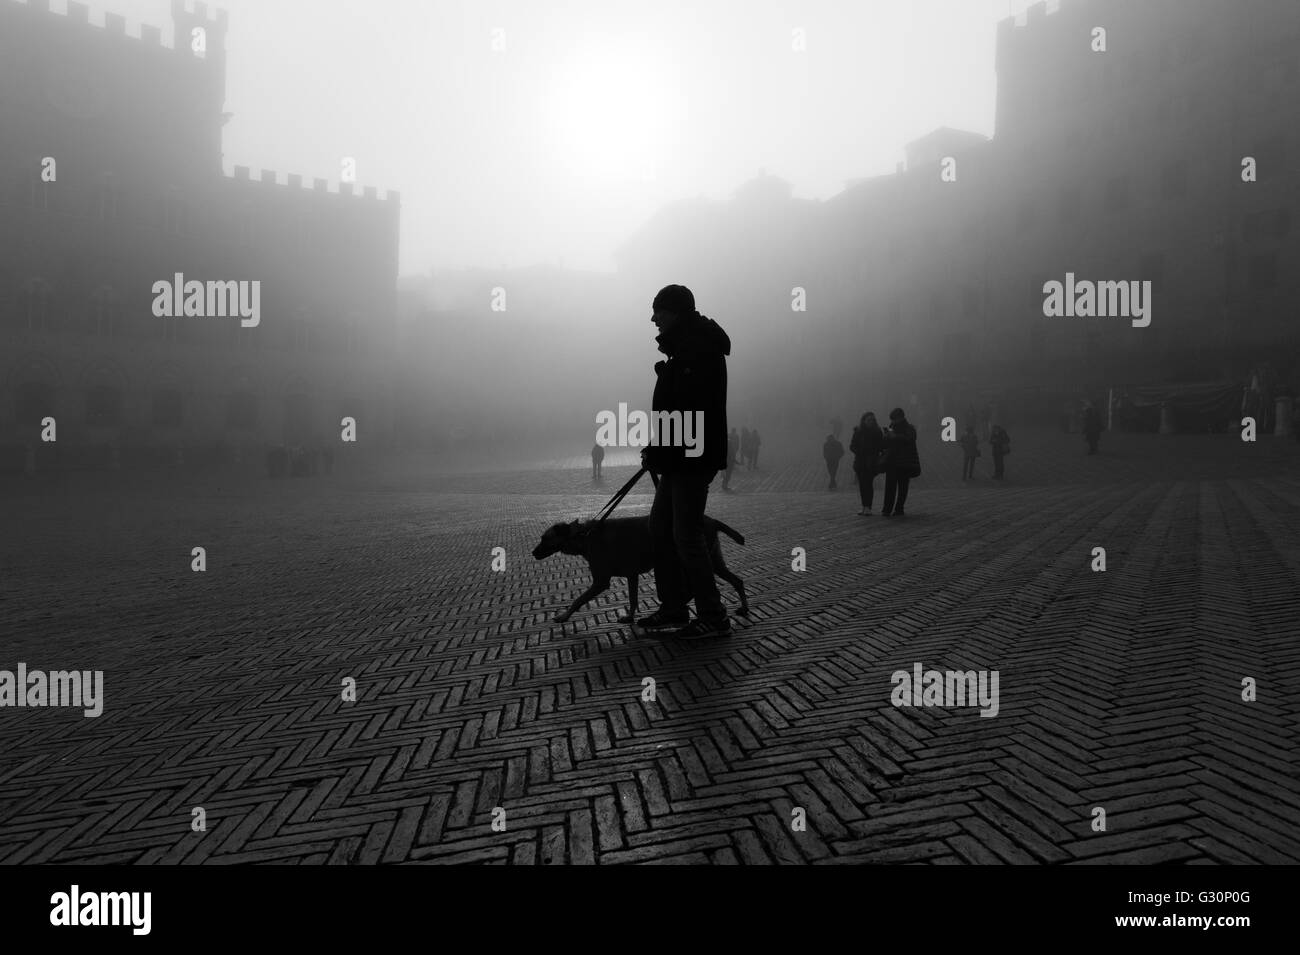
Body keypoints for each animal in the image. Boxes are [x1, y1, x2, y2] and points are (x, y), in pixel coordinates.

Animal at [530, 519, 754, 623]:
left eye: (545, 538)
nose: (533, 553)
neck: (584, 535)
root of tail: (712, 520)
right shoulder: (632, 575)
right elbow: (633, 599)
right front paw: (629, 617)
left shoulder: (601, 581)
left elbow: (578, 600)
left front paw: (564, 616)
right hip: (715, 561)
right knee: (737, 581)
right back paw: (743, 608)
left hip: (693, 558)